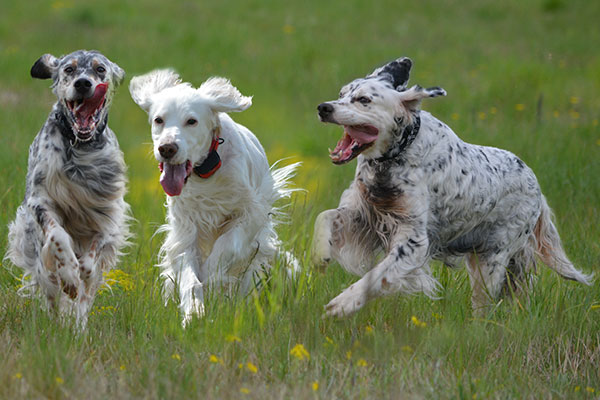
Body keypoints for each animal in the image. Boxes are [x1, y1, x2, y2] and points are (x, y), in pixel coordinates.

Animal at [6, 50, 131, 326]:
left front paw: (78, 277)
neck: (80, 147)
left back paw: (78, 326)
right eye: (69, 70)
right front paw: (70, 275)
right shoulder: (40, 202)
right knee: (51, 290)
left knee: (85, 295)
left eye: (100, 69)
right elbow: (58, 237)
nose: (83, 84)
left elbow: (89, 266)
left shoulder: (107, 216)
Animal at [131, 69, 300, 324]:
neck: (206, 173)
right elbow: (190, 275)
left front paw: (212, 286)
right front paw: (194, 311)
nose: (167, 148)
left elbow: (224, 249)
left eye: (191, 121)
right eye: (159, 120)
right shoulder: (185, 229)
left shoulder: (250, 215)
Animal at [312, 57, 592, 318]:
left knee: (485, 305)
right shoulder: (365, 215)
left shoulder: (413, 240)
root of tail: (538, 190)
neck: (395, 156)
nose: (323, 107)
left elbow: (378, 275)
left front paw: (343, 303)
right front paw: (320, 255)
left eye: (364, 100)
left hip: (491, 259)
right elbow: (324, 216)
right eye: (341, 94)